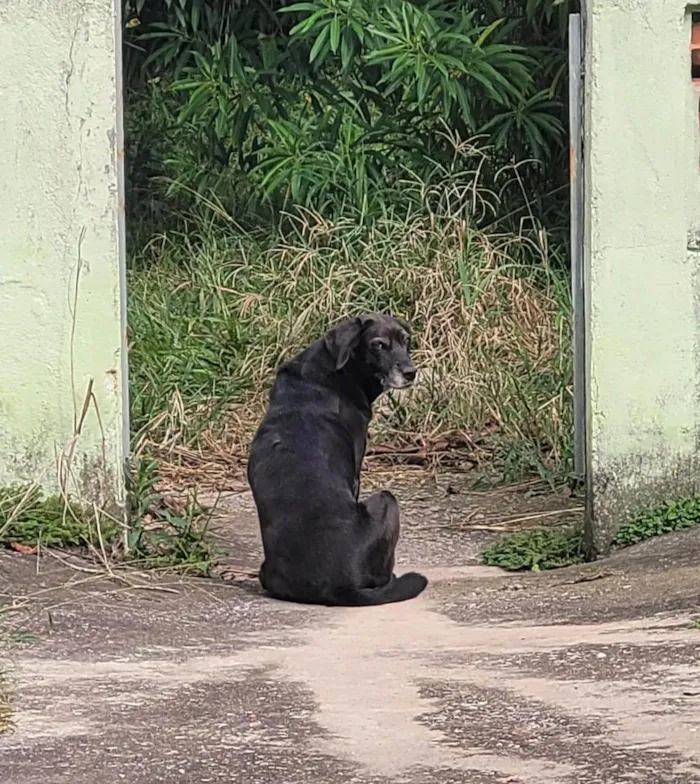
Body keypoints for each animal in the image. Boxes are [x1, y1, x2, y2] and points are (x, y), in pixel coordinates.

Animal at [249, 312, 430, 608]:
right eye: (379, 345)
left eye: (406, 341)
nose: (410, 372)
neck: (336, 370)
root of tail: (338, 587)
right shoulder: (356, 475)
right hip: (387, 500)